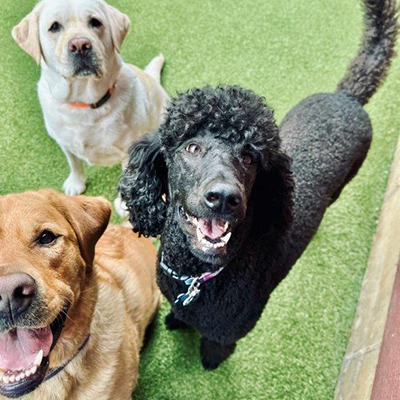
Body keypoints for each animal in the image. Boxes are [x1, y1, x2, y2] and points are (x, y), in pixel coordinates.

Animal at [11, 0, 167, 216]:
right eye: (54, 27)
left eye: (95, 22)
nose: (80, 45)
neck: (84, 104)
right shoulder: (64, 142)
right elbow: (74, 163)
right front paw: (76, 183)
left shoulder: (129, 150)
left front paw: (124, 205)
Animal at [119, 0, 396, 368]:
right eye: (192, 147)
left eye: (250, 157)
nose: (224, 198)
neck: (195, 276)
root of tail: (348, 98)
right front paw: (176, 320)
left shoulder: (228, 331)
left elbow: (215, 345)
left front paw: (210, 361)